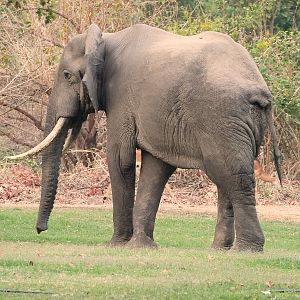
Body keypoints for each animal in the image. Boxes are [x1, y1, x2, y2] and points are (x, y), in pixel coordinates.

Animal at [8, 23, 282, 252]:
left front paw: (117, 245)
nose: (40, 230)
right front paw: (140, 246)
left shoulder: (121, 98)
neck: (106, 39)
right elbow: (155, 168)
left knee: (233, 176)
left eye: (67, 76)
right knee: (227, 176)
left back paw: (246, 250)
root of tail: (262, 90)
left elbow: (120, 160)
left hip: (221, 118)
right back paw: (219, 250)